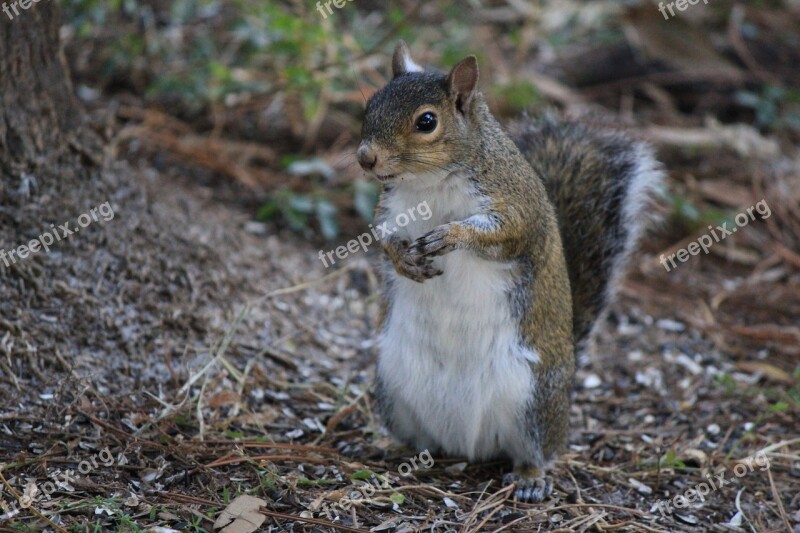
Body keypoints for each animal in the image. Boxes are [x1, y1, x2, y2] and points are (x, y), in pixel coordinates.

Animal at [358, 42, 664, 502]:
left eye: (426, 121)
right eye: (371, 104)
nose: (366, 158)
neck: (429, 183)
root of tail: (464, 446)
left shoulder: (516, 207)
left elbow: (504, 234)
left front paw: (452, 234)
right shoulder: (391, 210)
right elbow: (382, 238)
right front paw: (403, 260)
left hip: (532, 401)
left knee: (536, 450)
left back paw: (531, 478)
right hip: (393, 388)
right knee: (417, 438)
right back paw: (395, 449)